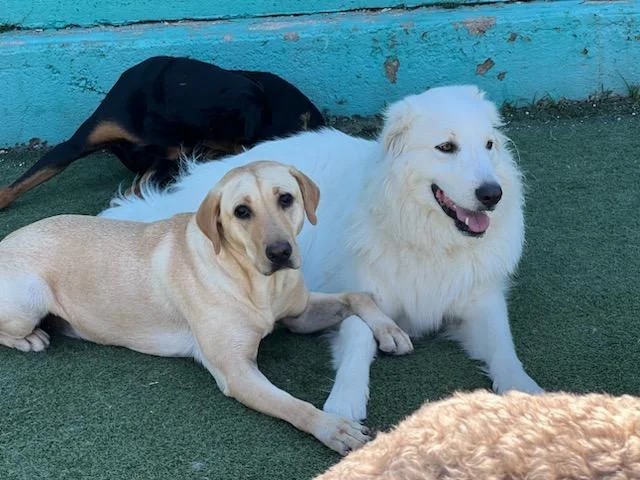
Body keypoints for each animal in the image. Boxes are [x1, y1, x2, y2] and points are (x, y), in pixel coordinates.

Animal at [0, 161, 412, 454]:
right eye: (241, 211)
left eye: (286, 199)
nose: (280, 252)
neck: (256, 283)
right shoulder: (236, 371)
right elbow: (294, 405)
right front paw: (332, 427)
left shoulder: (299, 314)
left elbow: (358, 296)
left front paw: (390, 329)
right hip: (29, 298)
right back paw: (32, 339)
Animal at [102, 85, 544, 420]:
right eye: (446, 147)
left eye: (489, 145)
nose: (492, 195)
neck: (428, 235)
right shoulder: (363, 291)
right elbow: (359, 338)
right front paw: (344, 403)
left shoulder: (481, 302)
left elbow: (504, 349)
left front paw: (526, 391)